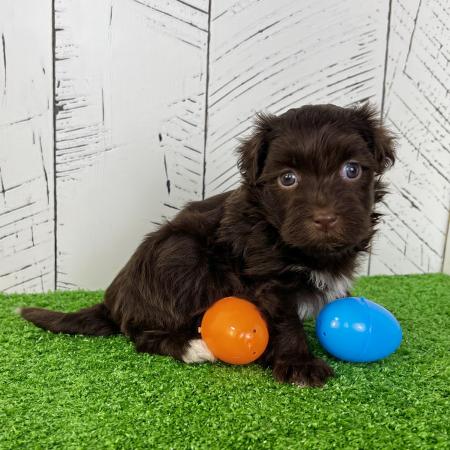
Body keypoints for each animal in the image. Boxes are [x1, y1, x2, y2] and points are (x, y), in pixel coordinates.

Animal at [20, 103, 395, 387]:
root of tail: (114, 299)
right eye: (288, 179)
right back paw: (192, 347)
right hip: (180, 254)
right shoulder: (266, 278)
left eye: (351, 170)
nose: (325, 219)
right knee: (142, 334)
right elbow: (285, 319)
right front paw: (299, 364)